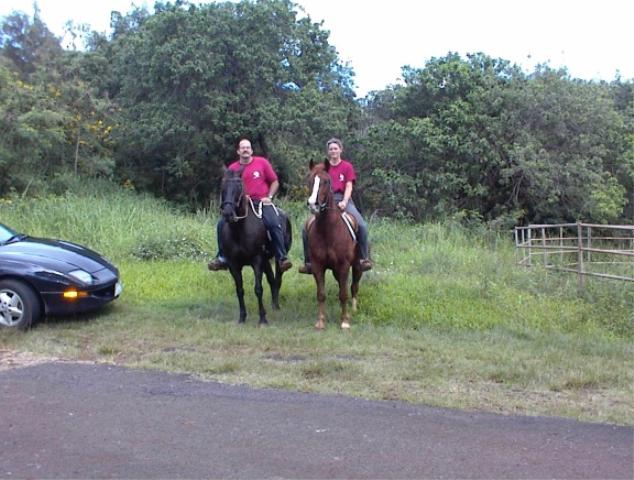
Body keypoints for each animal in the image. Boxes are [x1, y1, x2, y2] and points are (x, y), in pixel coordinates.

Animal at [217, 169, 292, 326]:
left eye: (239, 186)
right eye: (222, 186)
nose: (227, 213)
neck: (239, 230)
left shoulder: (257, 260)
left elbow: (258, 289)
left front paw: (262, 319)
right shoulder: (233, 264)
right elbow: (239, 290)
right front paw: (242, 317)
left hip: (277, 257)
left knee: (278, 279)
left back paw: (276, 306)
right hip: (266, 260)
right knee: (272, 280)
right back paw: (273, 305)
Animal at [304, 161, 360, 330]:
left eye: (326, 181)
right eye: (310, 180)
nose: (313, 204)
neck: (327, 231)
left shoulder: (344, 265)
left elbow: (344, 293)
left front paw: (345, 321)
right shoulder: (318, 266)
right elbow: (321, 294)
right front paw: (321, 321)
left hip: (356, 265)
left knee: (354, 286)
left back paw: (354, 308)